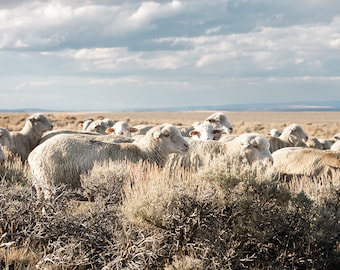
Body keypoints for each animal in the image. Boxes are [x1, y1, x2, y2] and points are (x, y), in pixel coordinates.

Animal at [27, 123, 189, 200]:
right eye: (166, 135)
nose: (187, 145)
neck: (143, 151)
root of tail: (33, 153)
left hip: (40, 186)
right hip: (50, 186)